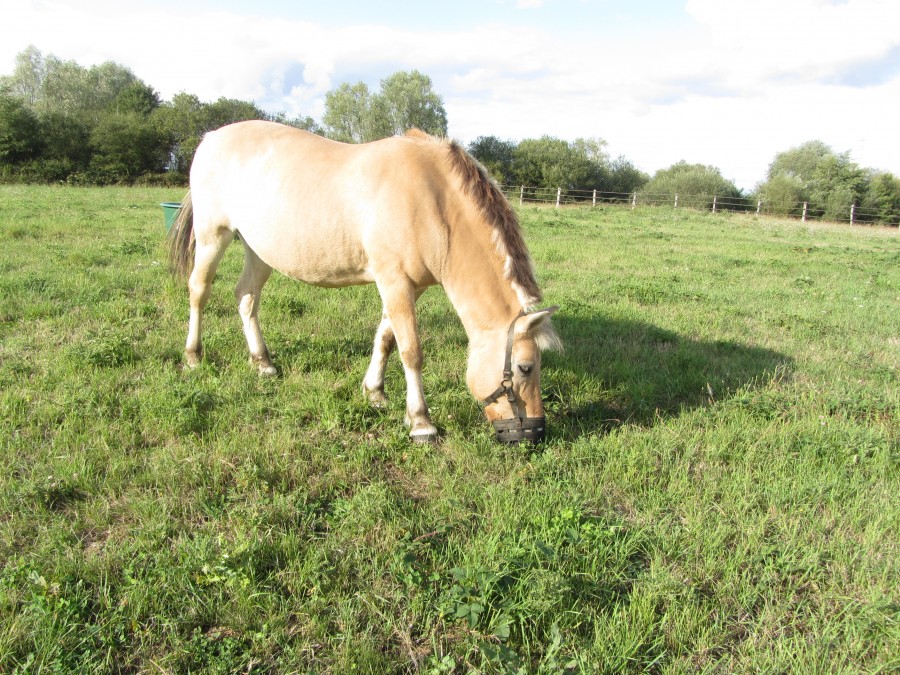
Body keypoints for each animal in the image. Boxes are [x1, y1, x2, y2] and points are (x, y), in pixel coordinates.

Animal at [169, 120, 560, 444]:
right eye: (525, 368)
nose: (535, 433)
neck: (431, 199)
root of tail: (210, 138)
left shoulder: (407, 286)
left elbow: (386, 338)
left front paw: (375, 393)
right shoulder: (394, 282)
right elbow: (411, 350)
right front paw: (421, 423)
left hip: (258, 250)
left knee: (246, 297)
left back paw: (262, 362)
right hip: (212, 237)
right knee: (199, 291)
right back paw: (193, 356)